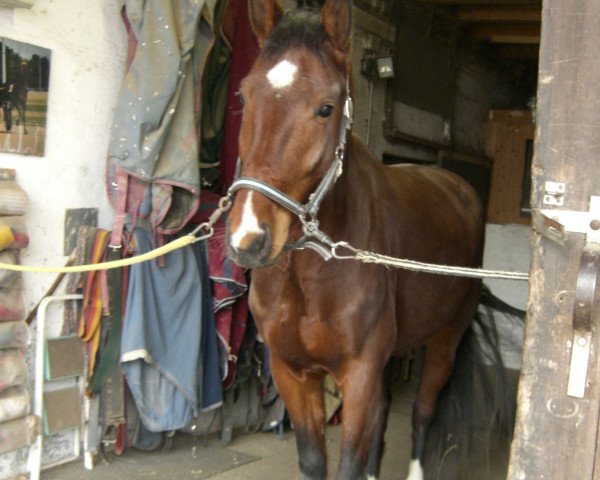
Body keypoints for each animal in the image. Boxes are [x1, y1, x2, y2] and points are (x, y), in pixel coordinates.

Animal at [224, 1, 482, 478]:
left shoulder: (359, 373)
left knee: (422, 411)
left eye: (326, 108)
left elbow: (349, 462)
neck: (309, 275)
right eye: (245, 97)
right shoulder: (291, 372)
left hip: (446, 339)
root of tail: (459, 188)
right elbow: (315, 460)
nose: (248, 237)